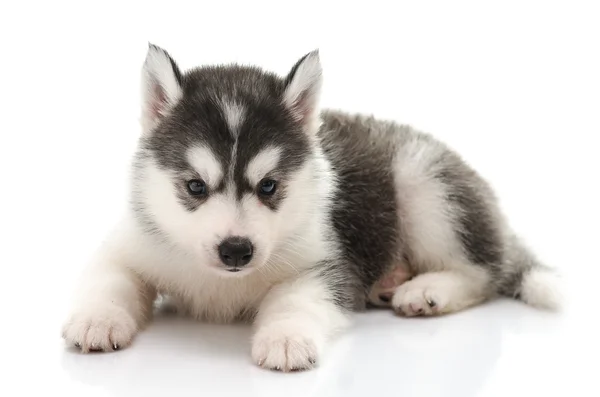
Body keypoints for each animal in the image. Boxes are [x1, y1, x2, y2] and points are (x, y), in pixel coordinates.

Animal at [62, 44, 564, 372]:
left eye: (268, 186)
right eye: (195, 186)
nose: (236, 251)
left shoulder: (328, 262)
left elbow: (299, 296)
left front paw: (285, 337)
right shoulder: (134, 243)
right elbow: (111, 277)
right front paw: (97, 319)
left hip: (425, 182)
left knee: (483, 272)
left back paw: (426, 290)